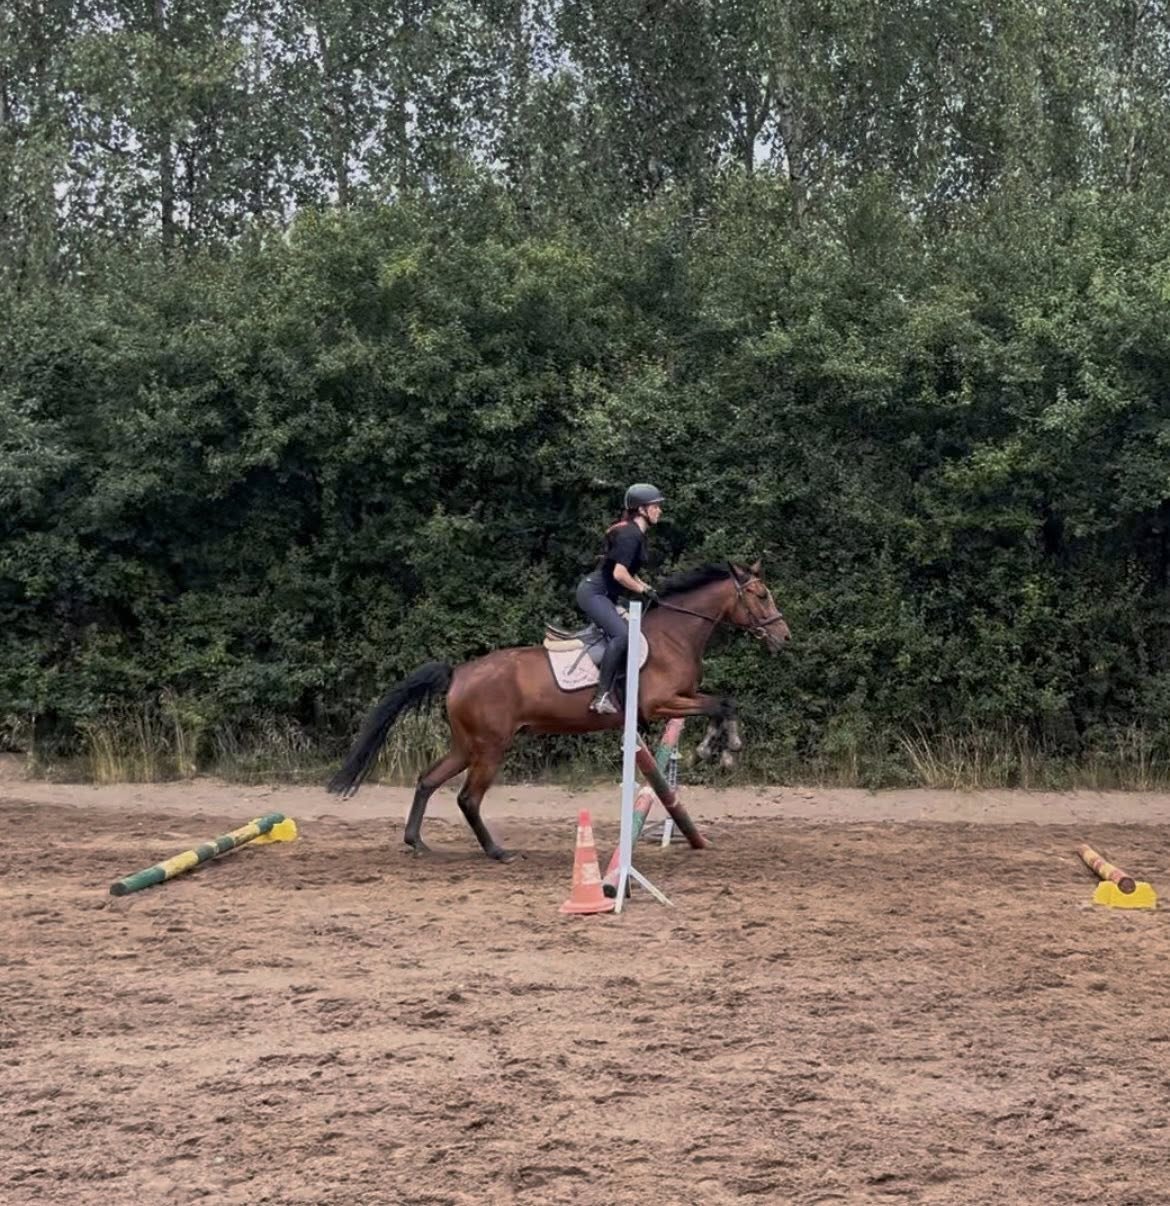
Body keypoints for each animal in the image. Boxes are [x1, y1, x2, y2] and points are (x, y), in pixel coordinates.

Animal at [327, 560, 790, 861]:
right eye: (761, 594)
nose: (783, 637)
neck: (674, 635)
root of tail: (458, 672)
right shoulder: (659, 704)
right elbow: (722, 703)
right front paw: (721, 749)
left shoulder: (676, 701)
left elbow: (723, 702)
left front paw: (719, 747)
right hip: (489, 748)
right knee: (468, 798)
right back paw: (497, 852)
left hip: (467, 745)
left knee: (427, 780)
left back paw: (416, 842)